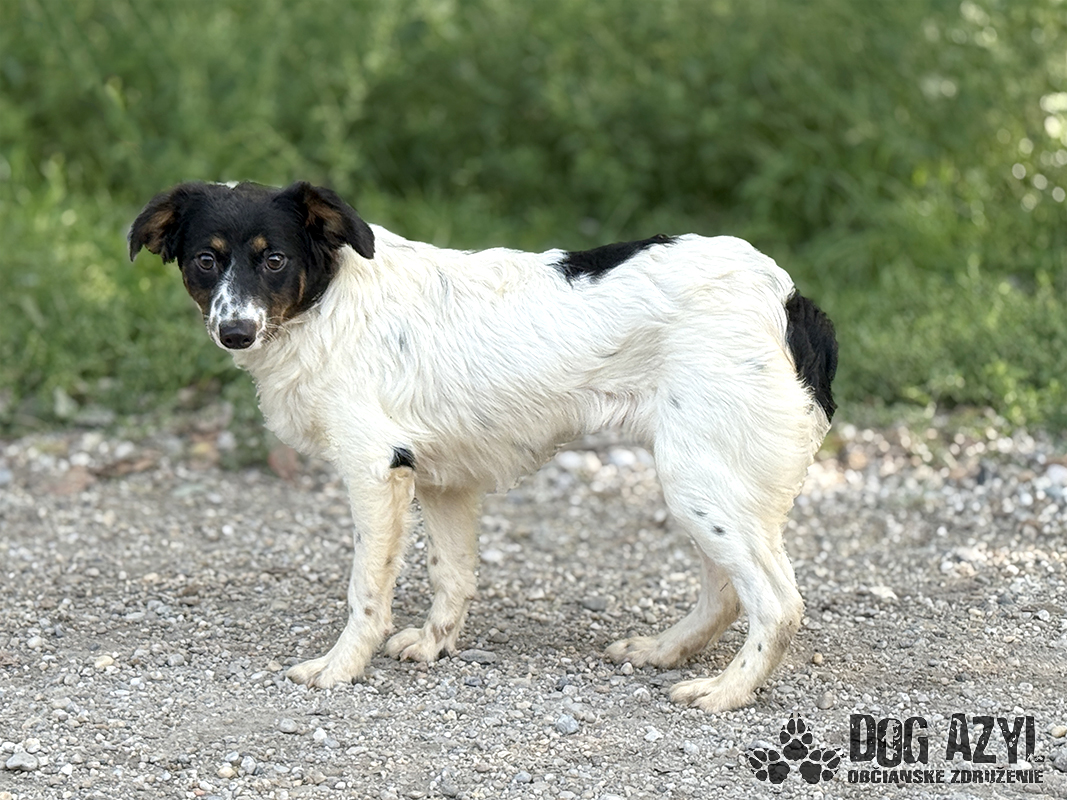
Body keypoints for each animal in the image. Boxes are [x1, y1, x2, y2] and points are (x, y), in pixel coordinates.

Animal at [129, 180, 837, 711]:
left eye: (273, 259)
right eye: (205, 260)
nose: (236, 332)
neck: (327, 304)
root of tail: (786, 297)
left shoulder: (375, 469)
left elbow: (365, 592)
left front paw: (340, 668)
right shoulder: (443, 479)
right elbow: (454, 575)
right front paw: (434, 645)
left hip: (699, 478)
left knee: (777, 604)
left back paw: (727, 691)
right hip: (709, 481)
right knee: (726, 593)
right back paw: (664, 652)